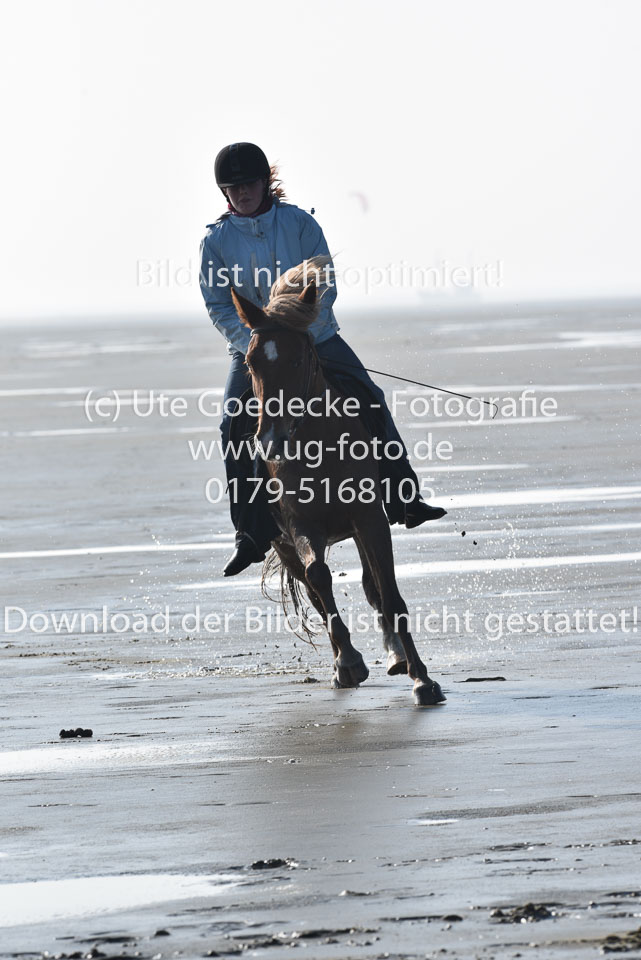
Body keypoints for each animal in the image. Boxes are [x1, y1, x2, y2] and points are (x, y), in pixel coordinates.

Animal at [230, 256, 444, 704]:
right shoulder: (298, 528)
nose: (271, 440)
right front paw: (348, 663)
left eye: (299, 359)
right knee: (315, 591)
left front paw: (422, 678)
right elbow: (319, 580)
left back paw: (397, 656)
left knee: (371, 585)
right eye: (251, 362)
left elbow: (388, 591)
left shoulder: (370, 518)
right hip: (282, 544)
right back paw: (342, 661)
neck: (318, 449)